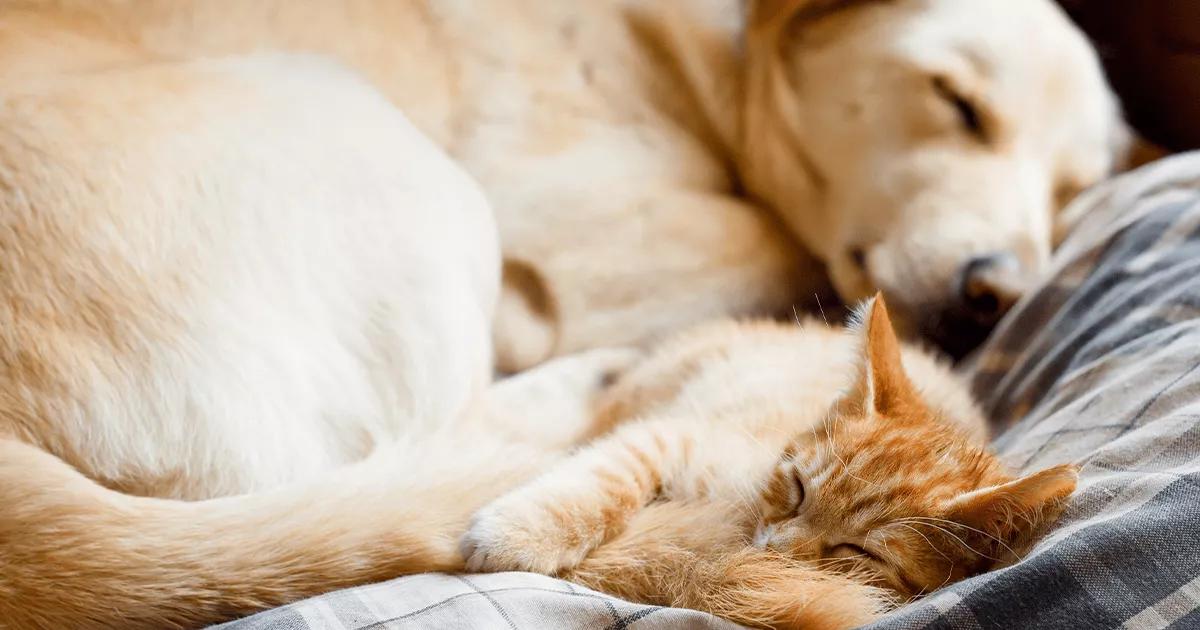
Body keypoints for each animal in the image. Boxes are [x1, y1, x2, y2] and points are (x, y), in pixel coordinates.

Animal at [460, 296, 1080, 628]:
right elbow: (609, 472)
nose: (774, 548)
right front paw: (520, 531)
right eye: (800, 487)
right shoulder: (676, 433)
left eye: (859, 552)